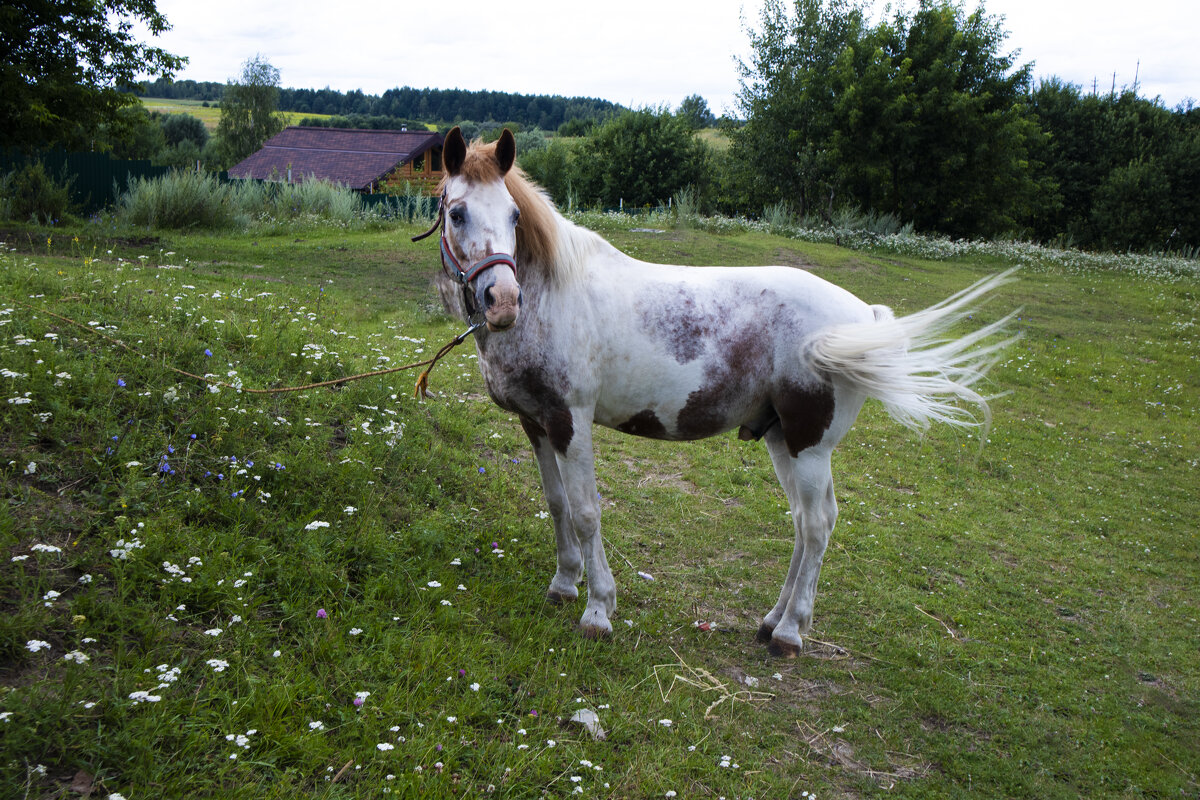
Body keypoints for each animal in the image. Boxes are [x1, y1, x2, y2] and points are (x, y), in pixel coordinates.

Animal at [417, 126, 1017, 657]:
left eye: (514, 216)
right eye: (457, 212)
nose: (502, 301)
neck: (552, 298)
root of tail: (861, 316)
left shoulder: (571, 421)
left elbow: (587, 511)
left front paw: (598, 610)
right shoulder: (536, 422)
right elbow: (557, 502)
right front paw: (565, 585)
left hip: (810, 446)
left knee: (818, 524)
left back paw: (790, 634)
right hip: (782, 440)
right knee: (803, 522)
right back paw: (772, 620)